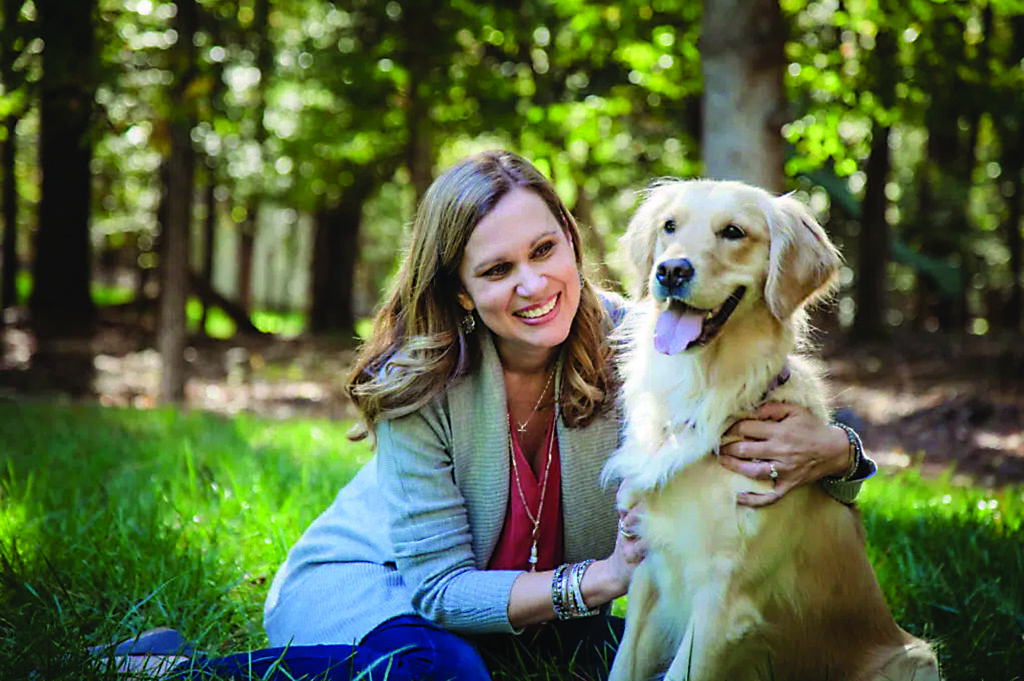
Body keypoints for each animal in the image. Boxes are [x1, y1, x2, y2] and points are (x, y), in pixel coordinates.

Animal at [602, 179, 937, 679]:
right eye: (669, 226)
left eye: (733, 232)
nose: (671, 271)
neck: (707, 394)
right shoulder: (647, 571)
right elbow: (622, 666)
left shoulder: (723, 602)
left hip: (915, 658)